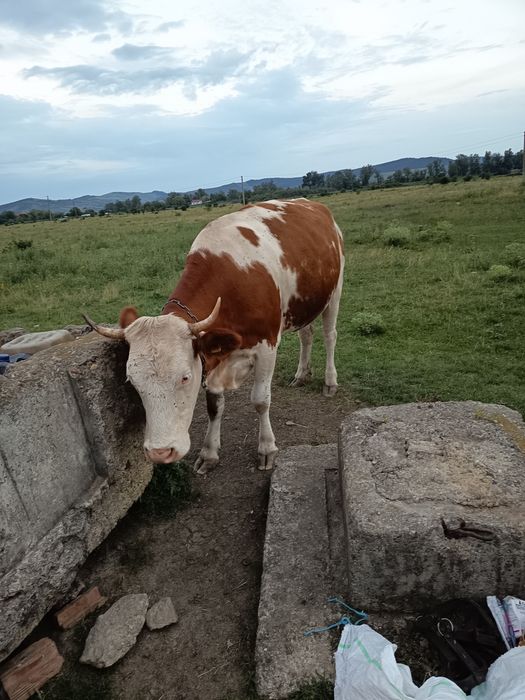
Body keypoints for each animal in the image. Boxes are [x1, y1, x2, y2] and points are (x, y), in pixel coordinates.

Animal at [84, 198, 344, 474]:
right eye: (133, 382)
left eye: (185, 378)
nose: (160, 452)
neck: (232, 280)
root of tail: (312, 203)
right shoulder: (210, 358)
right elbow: (213, 407)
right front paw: (209, 453)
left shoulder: (267, 346)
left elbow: (261, 400)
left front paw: (266, 448)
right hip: (304, 303)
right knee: (307, 334)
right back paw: (301, 374)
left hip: (335, 290)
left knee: (330, 335)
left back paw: (330, 382)